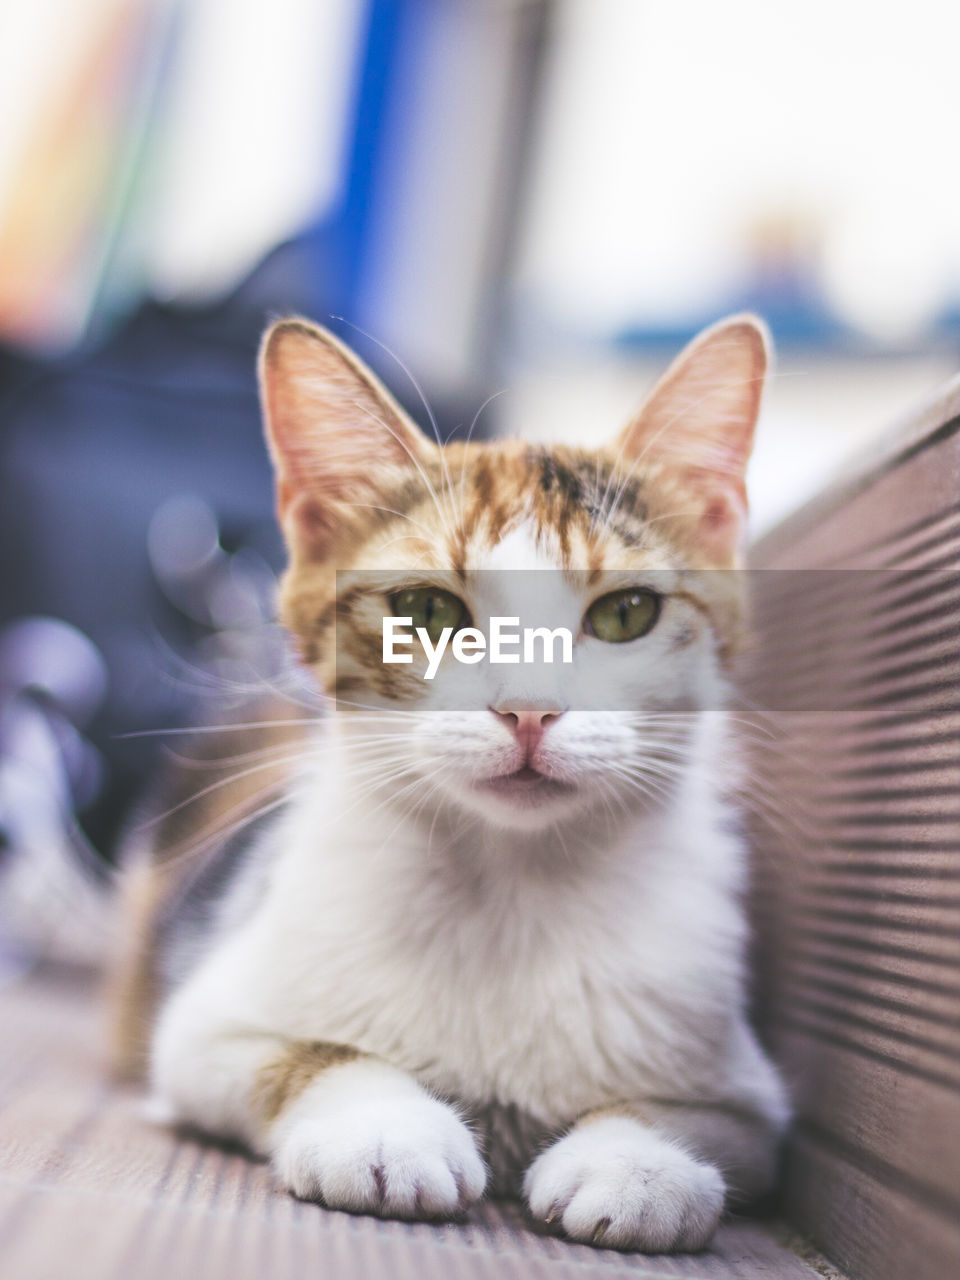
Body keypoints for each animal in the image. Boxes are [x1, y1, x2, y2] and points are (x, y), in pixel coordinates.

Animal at [110, 314, 788, 1254]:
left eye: (626, 614)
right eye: (426, 612)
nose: (530, 710)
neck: (510, 885)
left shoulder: (752, 1101)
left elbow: (698, 1117)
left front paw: (642, 1162)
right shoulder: (200, 1029)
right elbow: (308, 1050)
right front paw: (381, 1125)